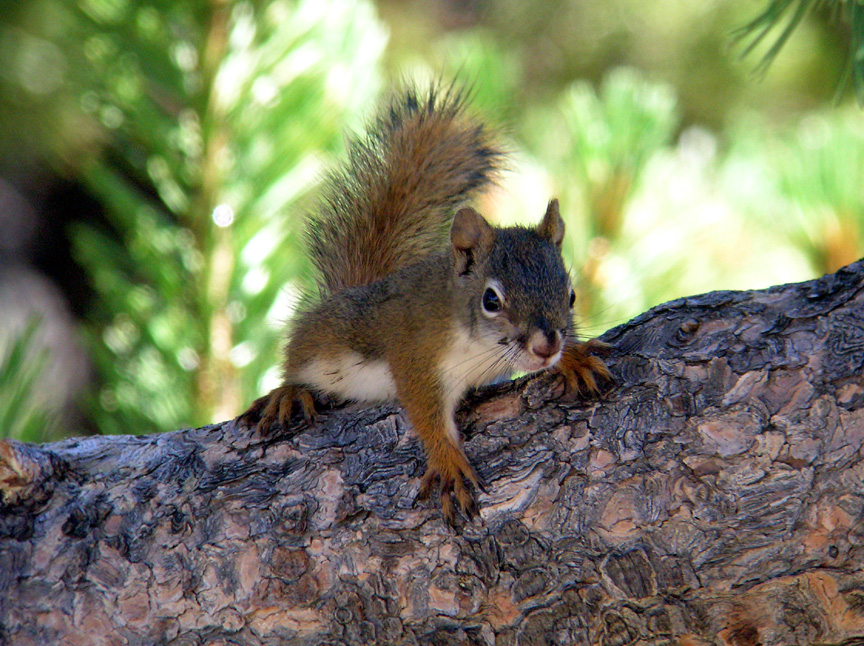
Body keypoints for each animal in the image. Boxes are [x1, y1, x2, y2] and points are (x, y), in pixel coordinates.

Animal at [240, 85, 610, 523]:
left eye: (571, 295)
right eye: (491, 299)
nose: (547, 344)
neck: (476, 344)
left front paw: (574, 357)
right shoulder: (415, 357)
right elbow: (426, 414)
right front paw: (448, 462)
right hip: (322, 339)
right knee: (297, 365)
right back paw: (289, 393)